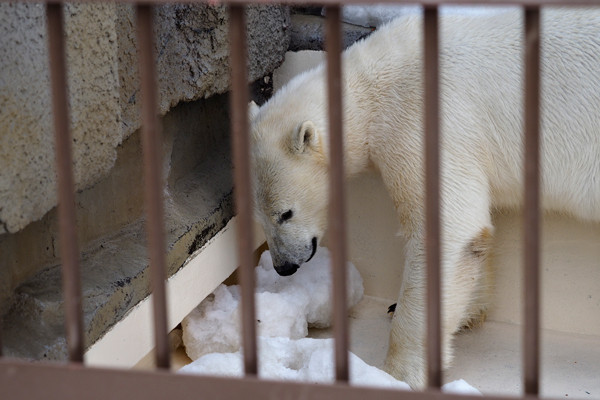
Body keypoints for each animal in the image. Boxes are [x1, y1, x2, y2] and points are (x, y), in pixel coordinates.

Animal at [246, 9, 596, 390]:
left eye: (286, 213)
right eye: (260, 218)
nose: (284, 266)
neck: (374, 82)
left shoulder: (423, 120)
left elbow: (447, 228)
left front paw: (397, 373)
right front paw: (467, 312)